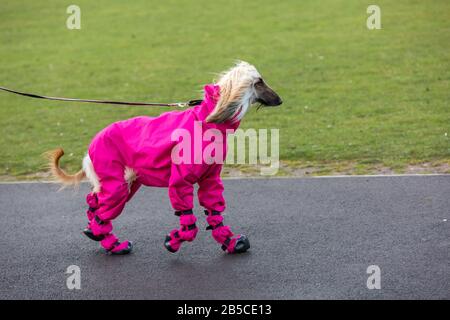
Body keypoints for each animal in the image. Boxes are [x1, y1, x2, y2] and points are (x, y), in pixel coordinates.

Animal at [47, 61, 284, 254]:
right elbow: (189, 222)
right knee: (103, 210)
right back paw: (111, 242)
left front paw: (232, 243)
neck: (206, 121)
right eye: (259, 82)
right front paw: (173, 240)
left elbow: (214, 211)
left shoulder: (209, 179)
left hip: (126, 181)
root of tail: (90, 148)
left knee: (95, 203)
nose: (281, 100)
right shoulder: (180, 180)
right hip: (115, 181)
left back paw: (102, 236)